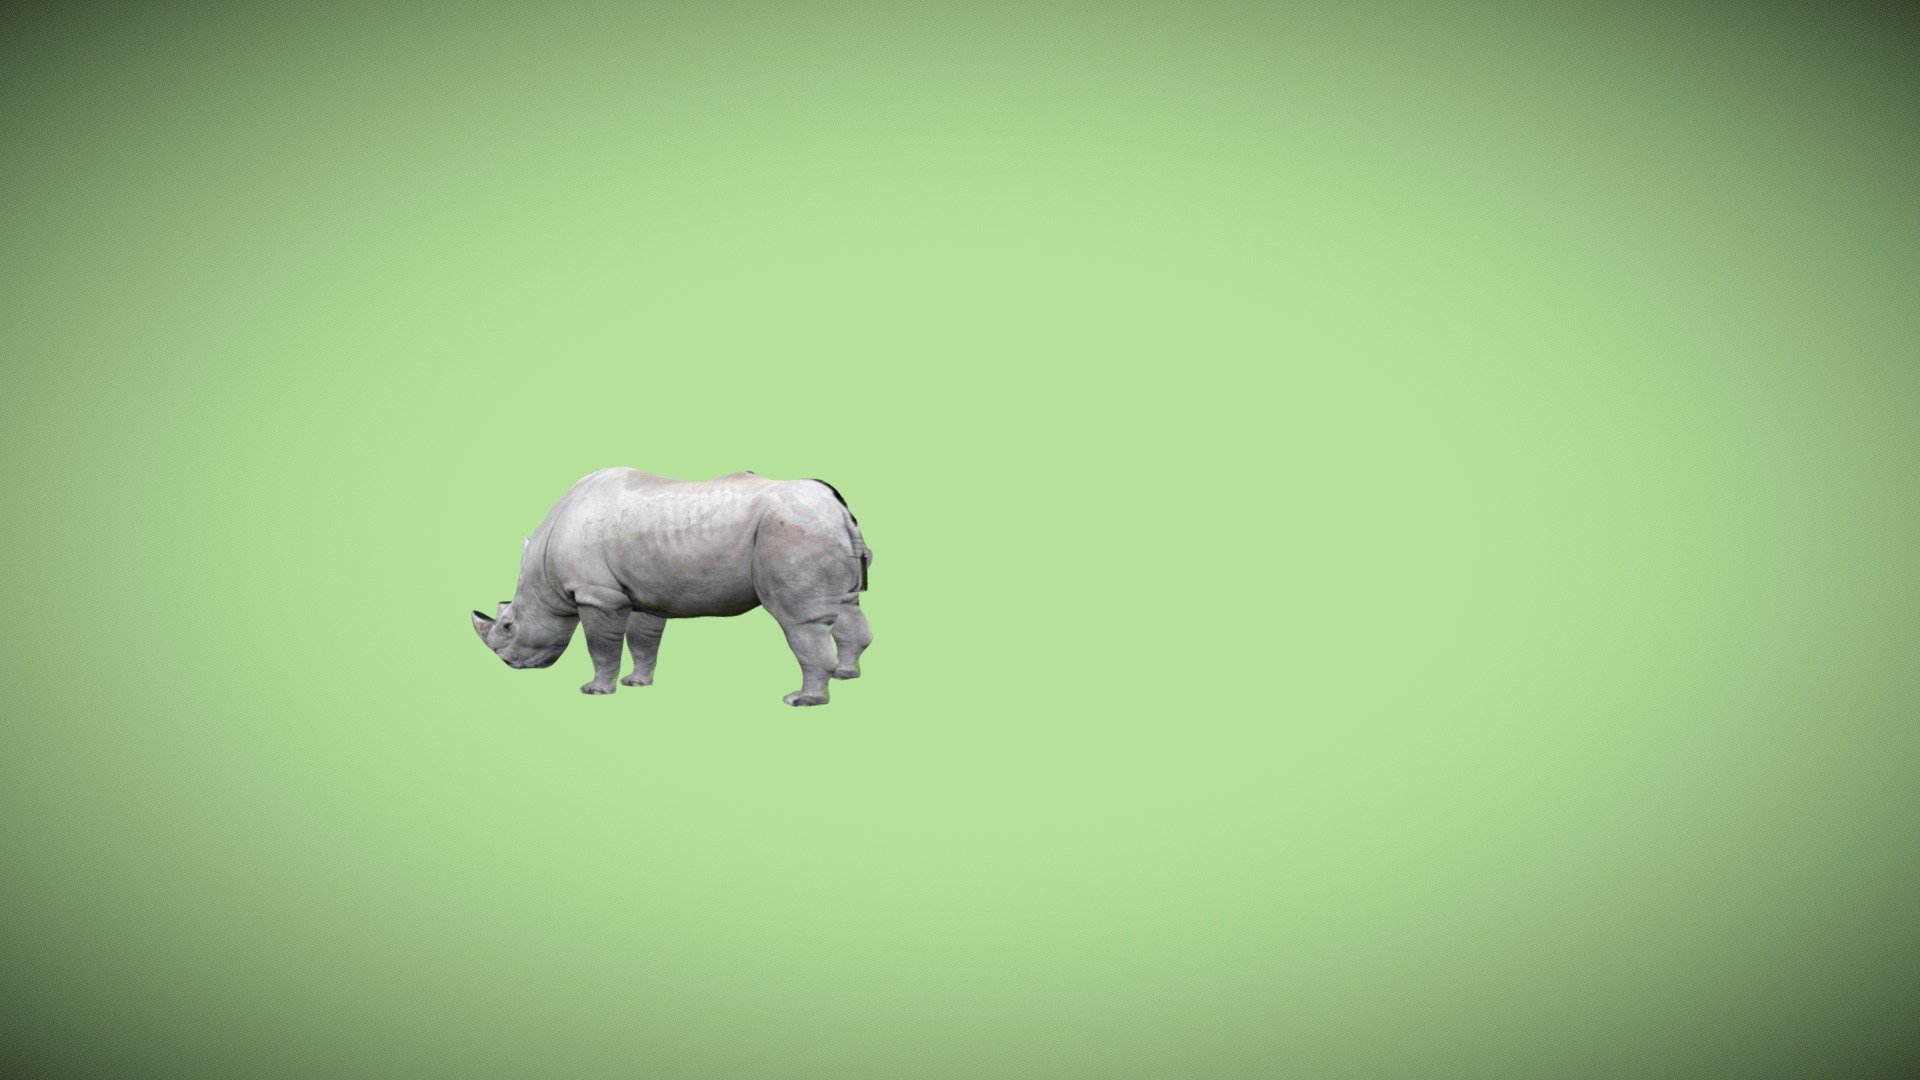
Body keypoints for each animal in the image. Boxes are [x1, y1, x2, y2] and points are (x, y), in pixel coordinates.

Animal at [471, 469, 873, 705]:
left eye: (507, 625)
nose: (508, 663)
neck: (543, 569)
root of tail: (837, 508)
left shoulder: (597, 594)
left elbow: (601, 645)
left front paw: (595, 691)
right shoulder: (642, 594)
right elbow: (644, 639)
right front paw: (637, 683)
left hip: (793, 529)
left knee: (798, 620)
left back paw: (801, 700)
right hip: (817, 526)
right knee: (846, 606)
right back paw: (846, 675)